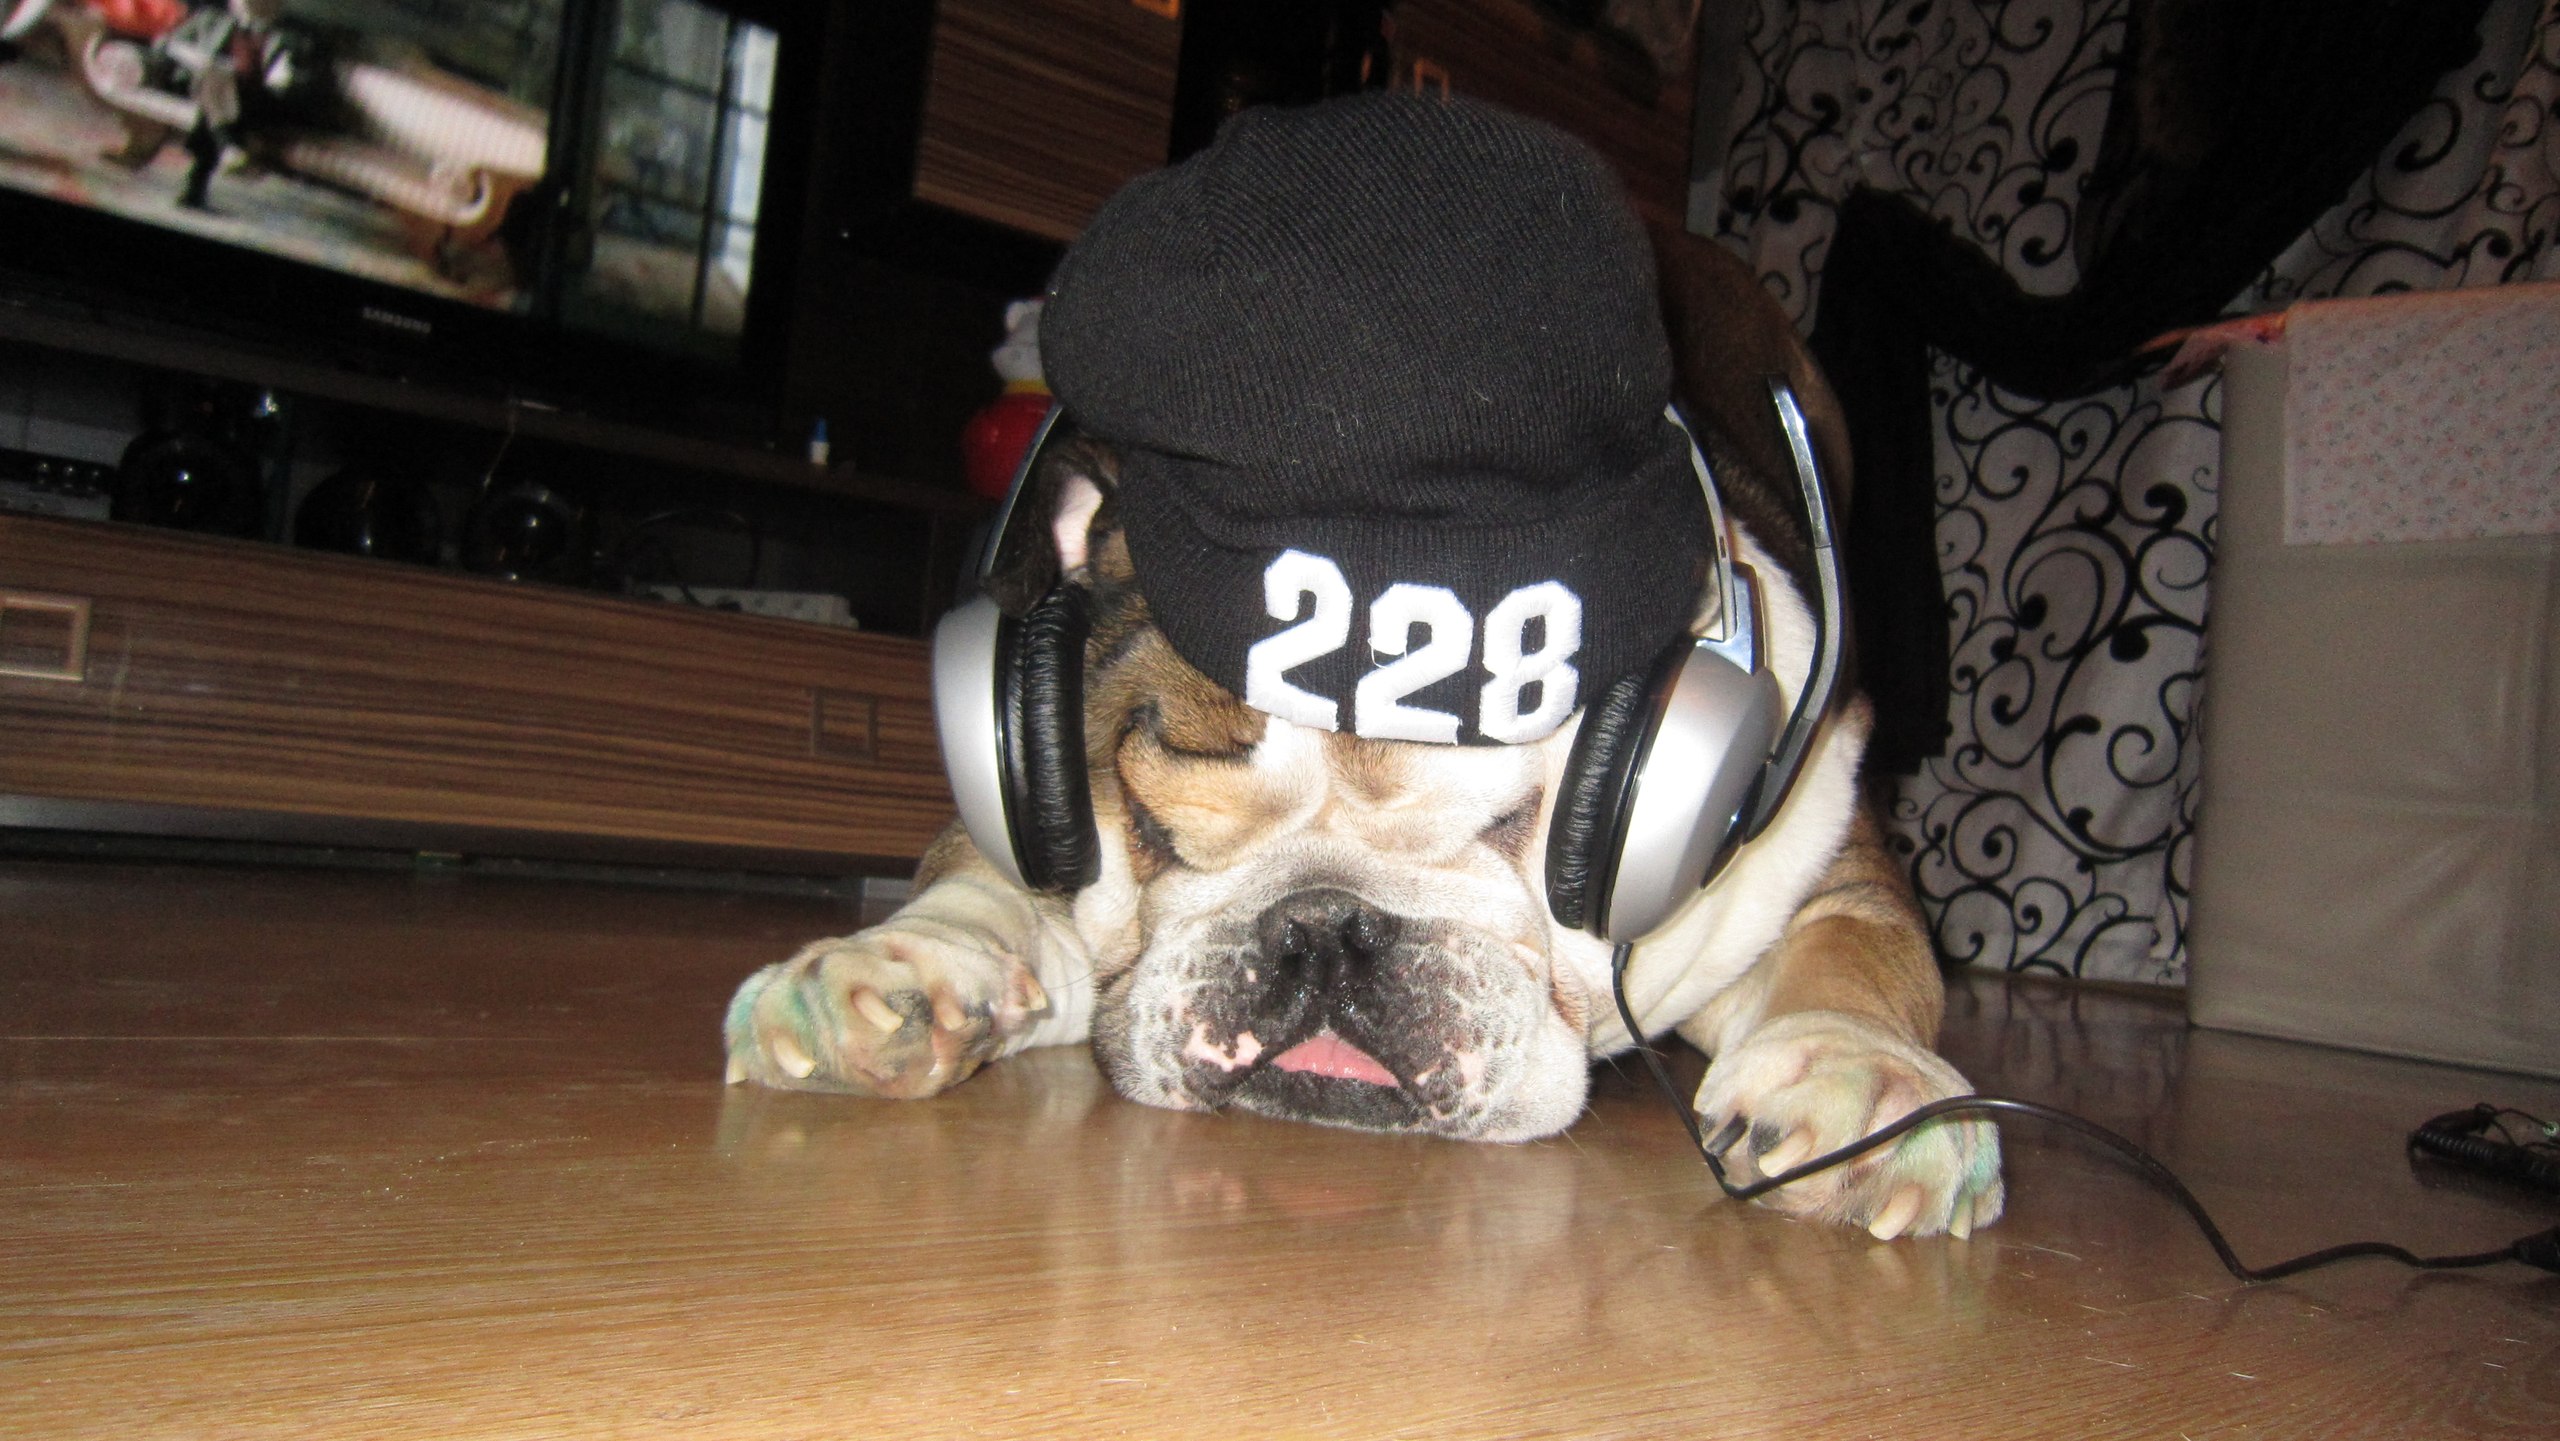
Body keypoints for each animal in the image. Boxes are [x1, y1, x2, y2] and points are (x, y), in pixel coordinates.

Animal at [725, 108, 2003, 1243]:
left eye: (1516, 826)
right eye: (1150, 825)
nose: (1323, 927)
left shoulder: (1820, 845)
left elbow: (1859, 953)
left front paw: (1861, 1083)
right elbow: (979, 872)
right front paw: (898, 971)